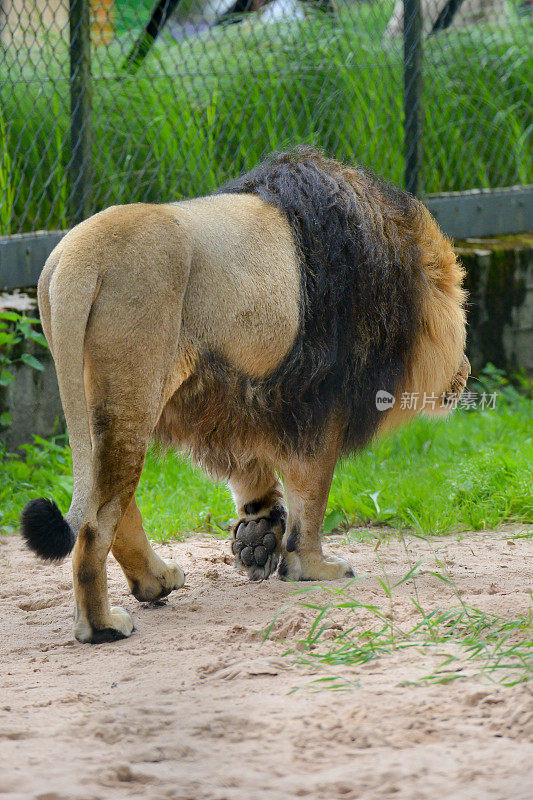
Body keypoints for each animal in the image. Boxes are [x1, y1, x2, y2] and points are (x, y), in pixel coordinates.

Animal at [21, 148, 470, 644]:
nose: (467, 372)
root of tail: (76, 259)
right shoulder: (319, 404)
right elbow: (311, 496)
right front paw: (312, 567)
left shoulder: (231, 400)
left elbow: (251, 471)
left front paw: (259, 533)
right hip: (133, 386)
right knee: (95, 524)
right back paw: (102, 625)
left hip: (99, 400)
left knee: (112, 506)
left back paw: (157, 582)